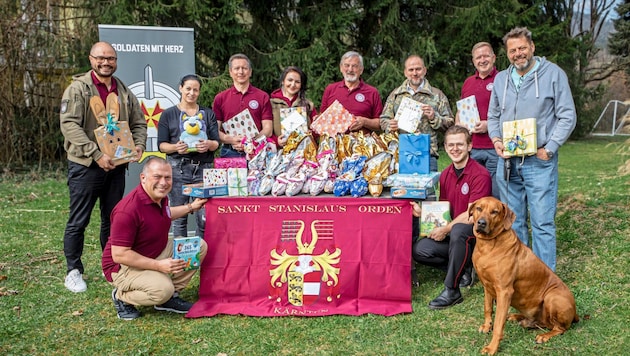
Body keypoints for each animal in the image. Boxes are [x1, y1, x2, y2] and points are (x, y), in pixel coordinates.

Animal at [472, 196, 580, 354]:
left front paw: (492, 347)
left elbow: (498, 324)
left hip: (552, 297)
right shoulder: (486, 286)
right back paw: (517, 317)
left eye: (494, 212)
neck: (487, 246)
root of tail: (575, 312)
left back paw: (545, 335)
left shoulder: (504, 291)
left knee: (560, 328)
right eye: (479, 208)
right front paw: (487, 326)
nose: (481, 223)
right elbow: (488, 308)